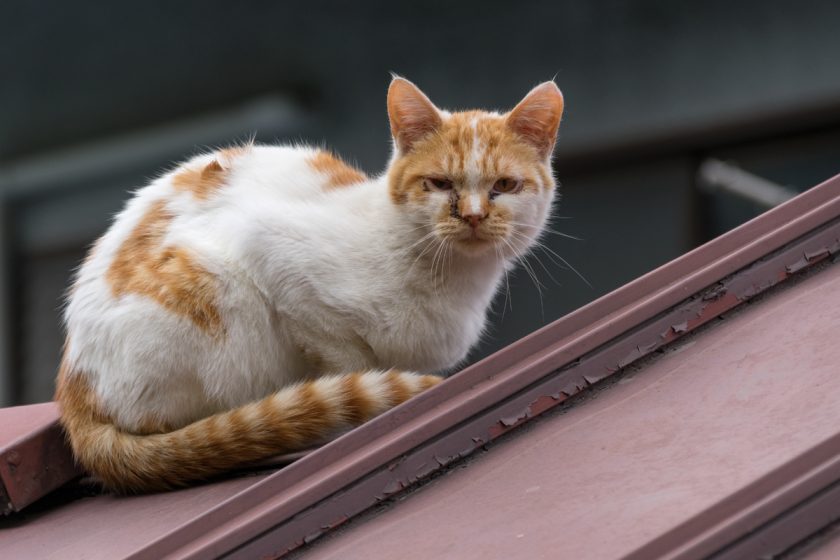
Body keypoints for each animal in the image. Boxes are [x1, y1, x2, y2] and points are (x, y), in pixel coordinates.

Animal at [54, 76, 564, 492]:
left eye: (504, 186)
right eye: (439, 183)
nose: (473, 216)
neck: (451, 279)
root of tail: (74, 392)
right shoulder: (274, 257)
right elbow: (347, 364)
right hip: (216, 294)